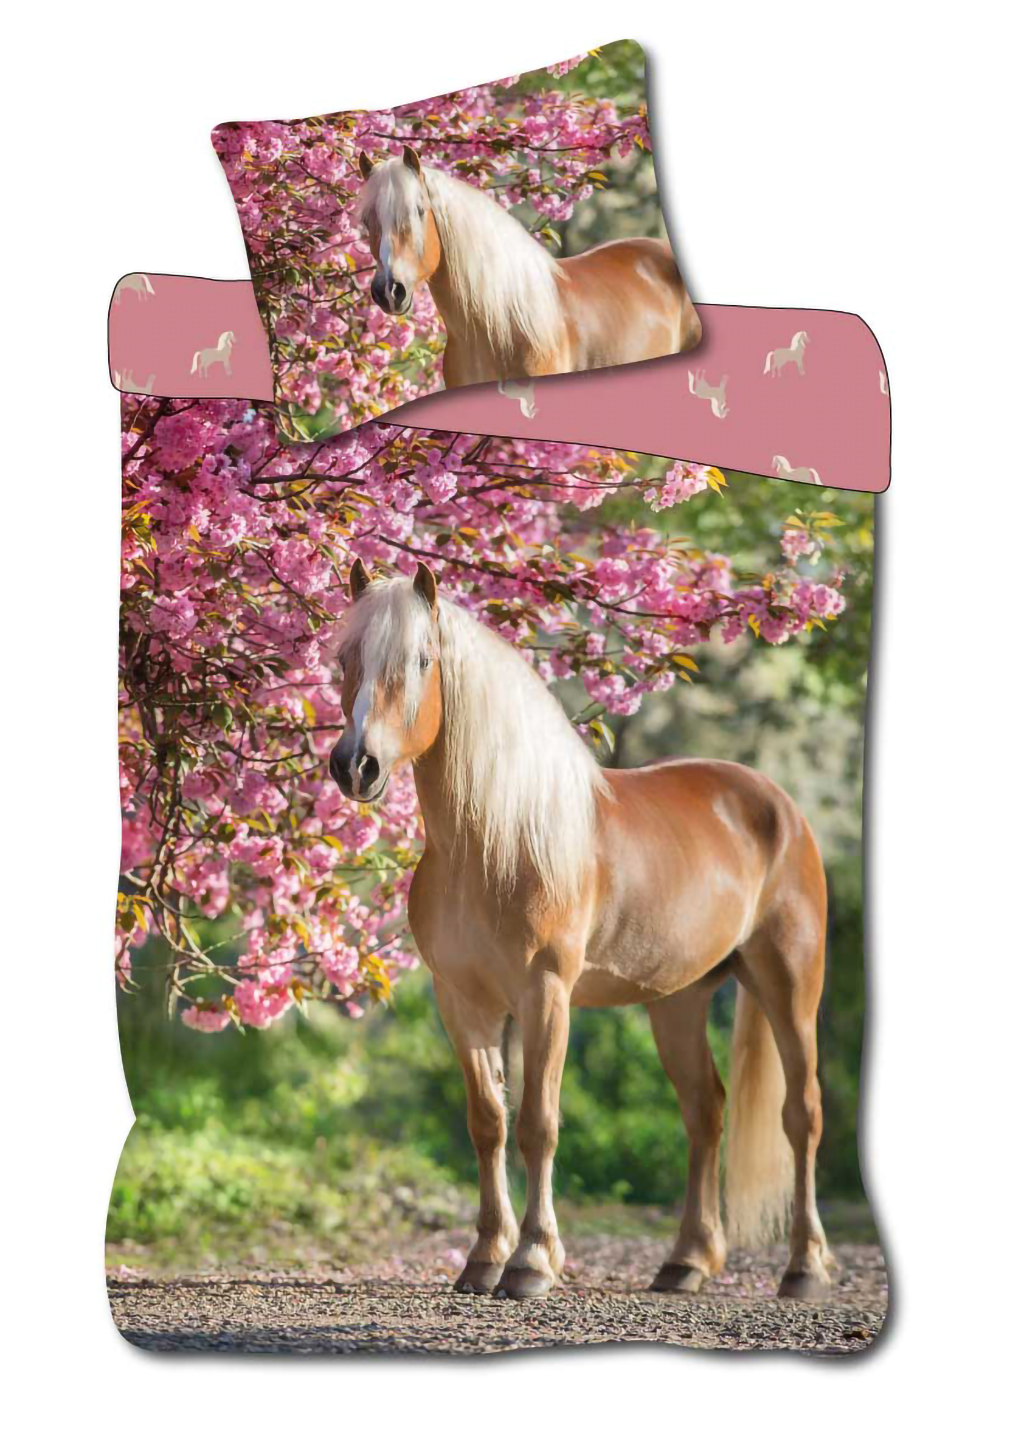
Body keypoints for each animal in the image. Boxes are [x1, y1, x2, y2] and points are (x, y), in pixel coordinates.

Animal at [328, 564, 835, 1303]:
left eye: (421, 661)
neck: (496, 842)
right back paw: (686, 1262)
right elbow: (488, 1122)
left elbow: (539, 1123)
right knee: (705, 1111)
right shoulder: (462, 1002)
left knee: (801, 1115)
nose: (354, 765)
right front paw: (484, 1257)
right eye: (345, 658)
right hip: (677, 1000)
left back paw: (804, 1268)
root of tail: (779, 806)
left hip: (789, 984)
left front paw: (532, 1262)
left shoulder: (546, 995)